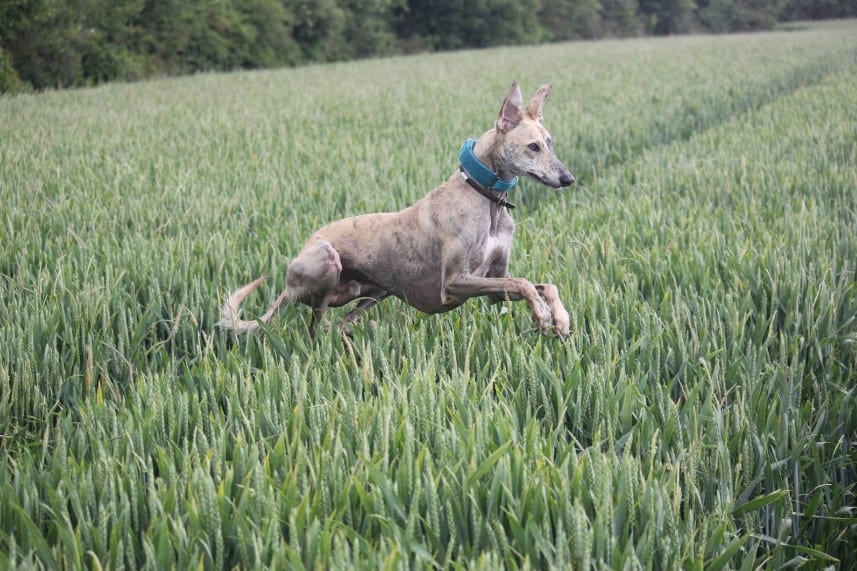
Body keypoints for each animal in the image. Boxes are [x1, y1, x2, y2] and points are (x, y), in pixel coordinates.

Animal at [217, 81, 572, 340]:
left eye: (550, 143)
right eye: (532, 147)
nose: (568, 179)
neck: (484, 195)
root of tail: (288, 285)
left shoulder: (494, 284)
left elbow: (542, 285)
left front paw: (560, 319)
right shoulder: (455, 281)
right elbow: (524, 283)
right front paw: (542, 315)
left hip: (372, 293)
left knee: (342, 322)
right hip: (327, 261)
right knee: (315, 325)